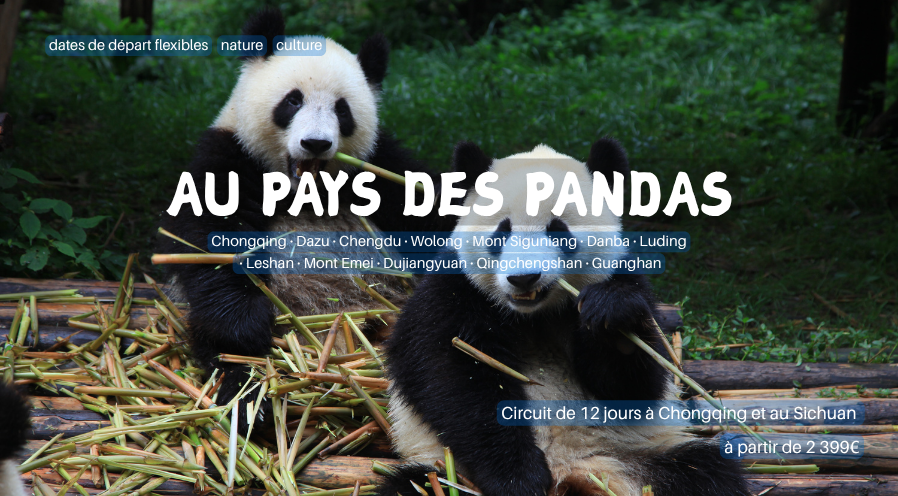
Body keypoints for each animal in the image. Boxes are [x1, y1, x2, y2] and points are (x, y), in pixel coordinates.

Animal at [158, 7, 450, 428]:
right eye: (293, 101)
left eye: (342, 109)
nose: (315, 143)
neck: (306, 194)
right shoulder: (231, 156)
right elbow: (206, 240)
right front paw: (245, 328)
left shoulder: (381, 165)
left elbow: (431, 215)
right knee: (226, 352)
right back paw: (251, 402)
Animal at [379, 140, 750, 496]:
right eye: (502, 230)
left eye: (558, 230)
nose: (524, 278)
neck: (533, 315)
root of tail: (572, 473)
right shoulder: (454, 291)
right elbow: (453, 375)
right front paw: (518, 479)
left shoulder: (626, 280)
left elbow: (636, 386)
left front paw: (612, 317)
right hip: (444, 471)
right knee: (411, 486)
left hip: (643, 454)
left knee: (708, 473)